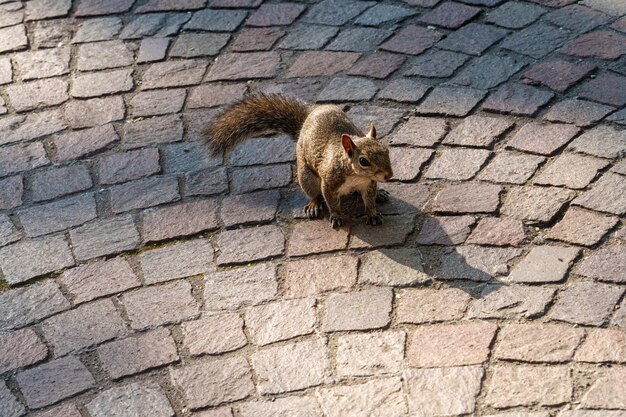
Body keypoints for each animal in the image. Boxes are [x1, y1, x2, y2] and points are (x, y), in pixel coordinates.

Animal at [202, 92, 392, 228]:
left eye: (386, 150)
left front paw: (372, 213)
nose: (388, 175)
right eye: (363, 161)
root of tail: (307, 119)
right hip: (306, 177)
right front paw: (336, 216)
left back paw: (380, 194)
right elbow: (331, 201)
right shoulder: (329, 183)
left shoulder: (368, 184)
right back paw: (314, 204)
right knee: (315, 193)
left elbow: (369, 200)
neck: (356, 176)